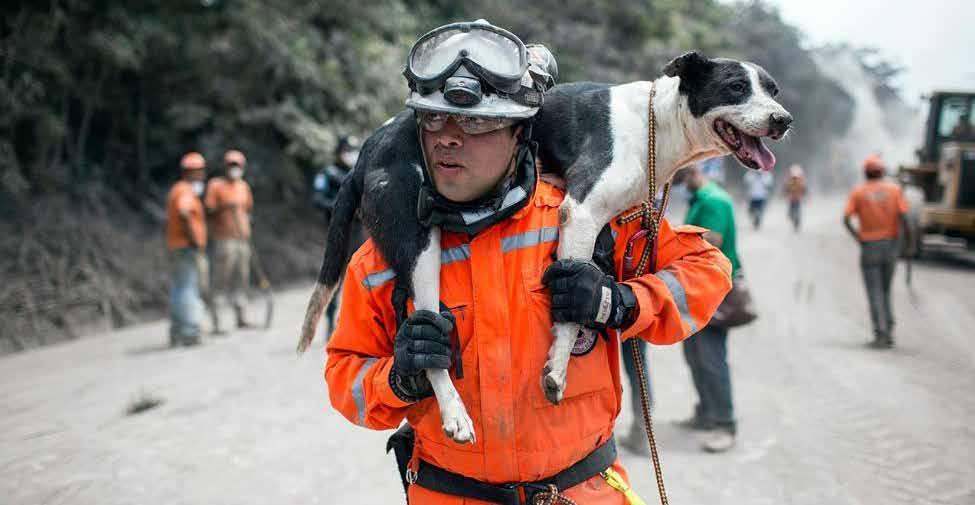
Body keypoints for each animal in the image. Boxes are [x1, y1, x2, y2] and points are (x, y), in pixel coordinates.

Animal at [300, 51, 792, 440]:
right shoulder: (581, 211)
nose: (783, 120)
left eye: (773, 90)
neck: (656, 126)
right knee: (427, 337)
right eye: (735, 87)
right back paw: (455, 413)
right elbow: (569, 320)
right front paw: (556, 370)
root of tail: (365, 152)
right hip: (421, 247)